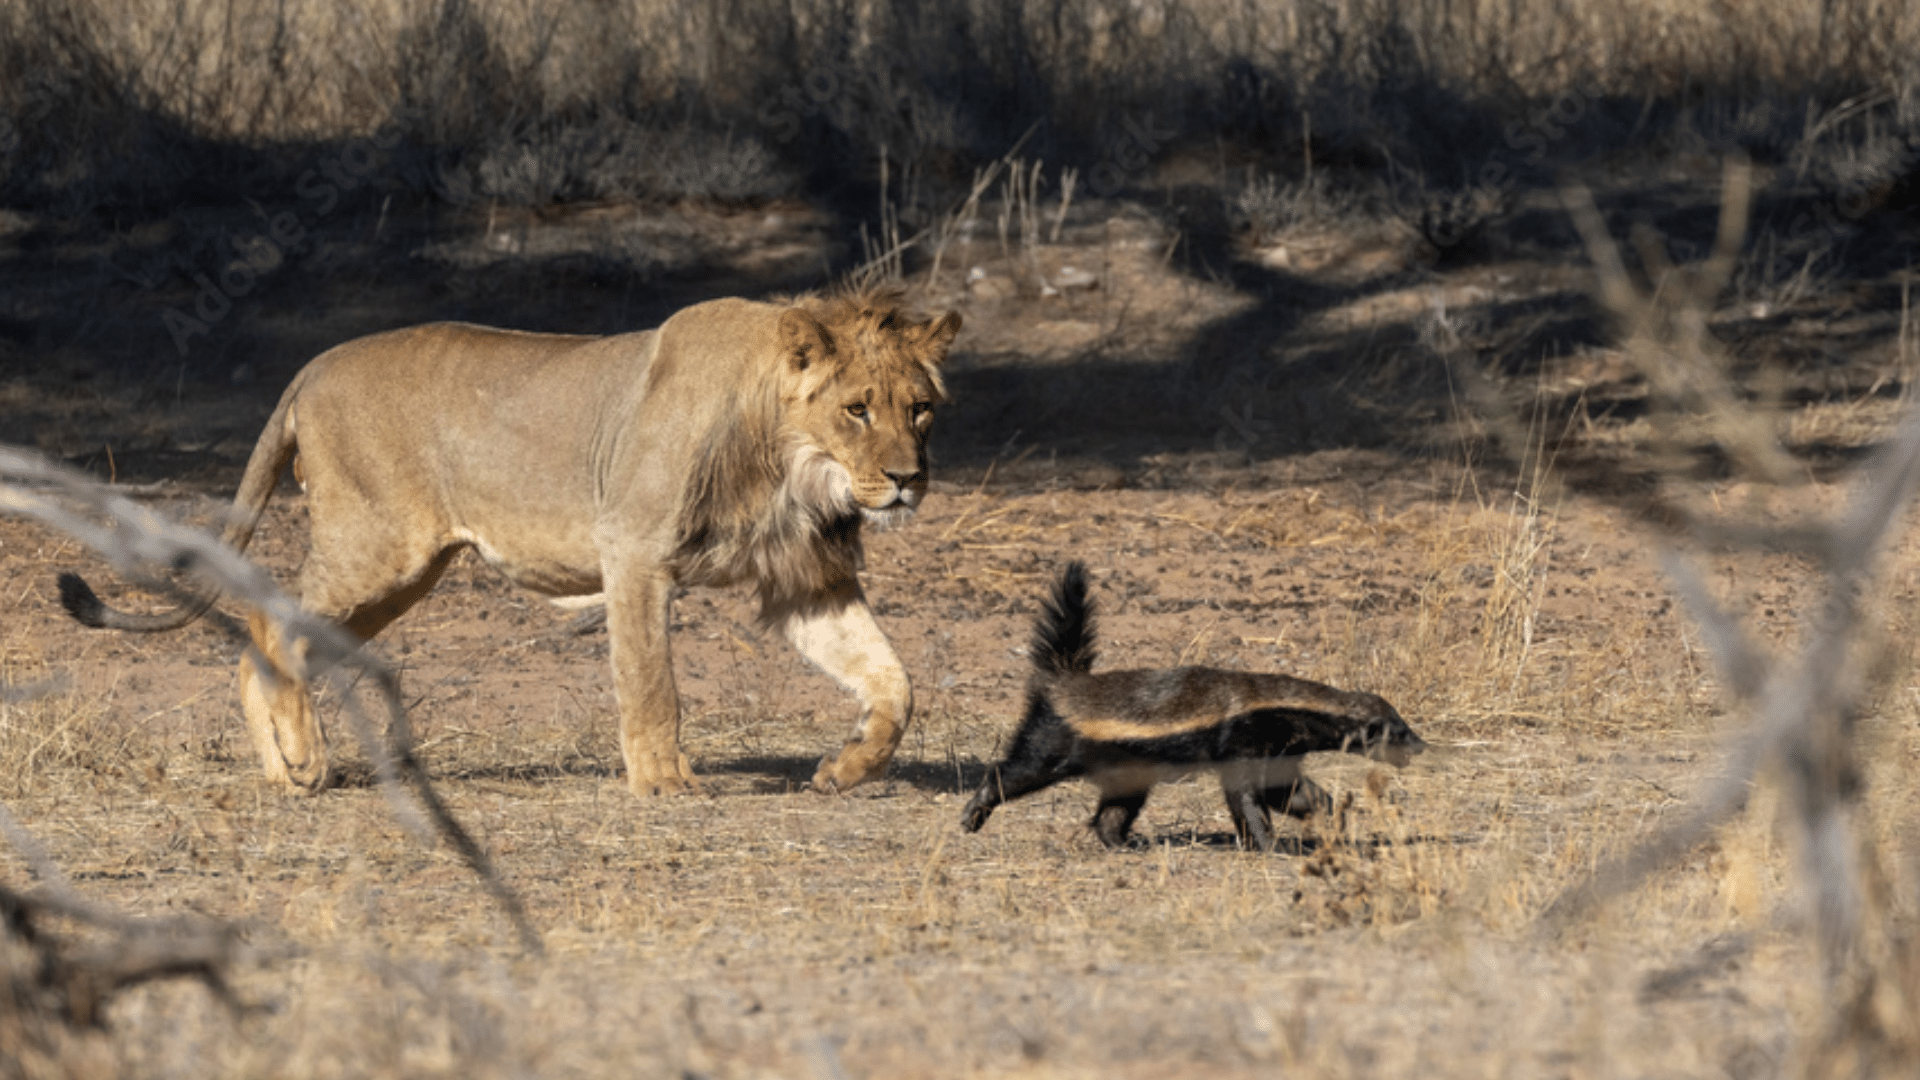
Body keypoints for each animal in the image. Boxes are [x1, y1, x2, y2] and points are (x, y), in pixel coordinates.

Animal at [57, 292, 962, 797]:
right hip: (376, 546)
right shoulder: (632, 550)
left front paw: (847, 770)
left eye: (920, 408)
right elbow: (651, 685)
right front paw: (664, 786)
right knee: (267, 622)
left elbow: (894, 683)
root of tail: (311, 367)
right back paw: (303, 759)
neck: (793, 468)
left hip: (404, 575)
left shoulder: (806, 579)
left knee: (266, 644)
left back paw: (287, 774)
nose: (908, 479)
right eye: (856, 409)